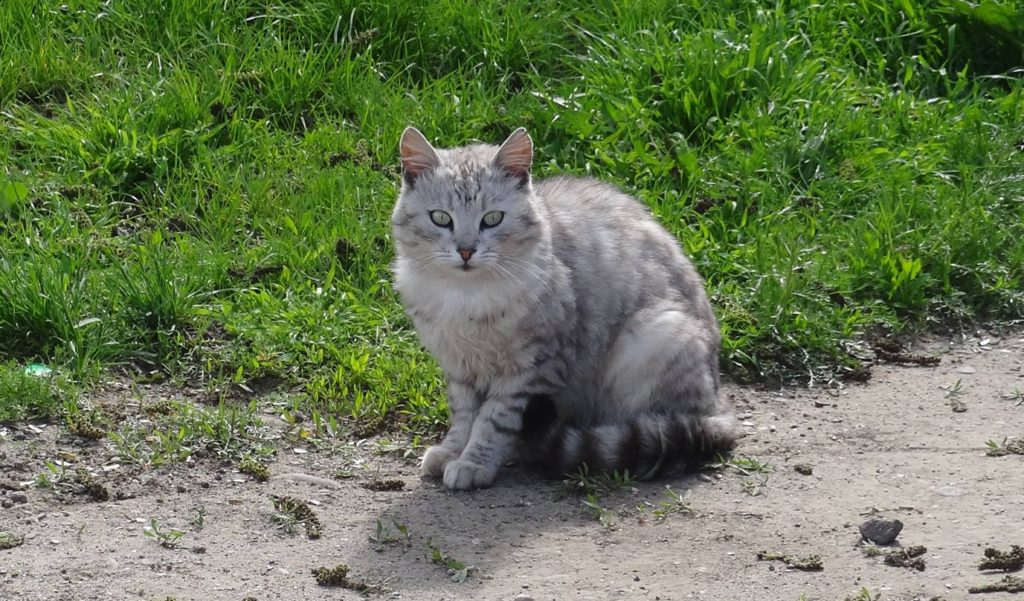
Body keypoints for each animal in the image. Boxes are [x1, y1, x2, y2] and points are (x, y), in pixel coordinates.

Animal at [389, 126, 737, 489]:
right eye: (441, 218)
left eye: (492, 219)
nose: (466, 251)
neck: (466, 297)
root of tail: (719, 407)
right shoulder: (460, 366)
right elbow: (463, 416)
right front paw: (451, 451)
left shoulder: (529, 368)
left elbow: (493, 421)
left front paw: (474, 462)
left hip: (653, 339)